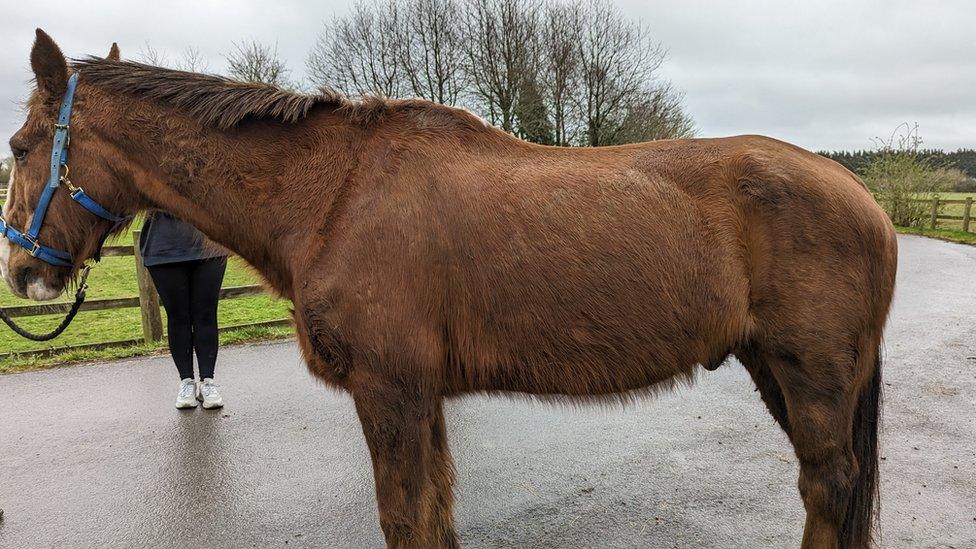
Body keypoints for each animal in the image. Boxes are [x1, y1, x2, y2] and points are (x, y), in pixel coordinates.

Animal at [3, 31, 896, 548]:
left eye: (18, 144)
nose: (21, 271)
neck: (334, 193)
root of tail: (862, 195)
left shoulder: (389, 390)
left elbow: (404, 514)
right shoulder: (418, 395)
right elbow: (434, 508)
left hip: (811, 377)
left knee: (829, 485)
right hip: (775, 369)